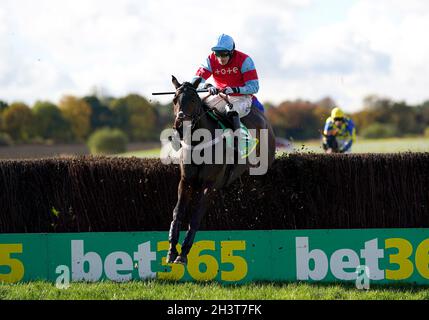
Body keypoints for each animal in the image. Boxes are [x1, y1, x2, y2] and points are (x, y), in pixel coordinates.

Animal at [166, 75, 272, 264]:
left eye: (193, 99)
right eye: (174, 99)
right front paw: (171, 250)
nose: (180, 125)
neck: (198, 143)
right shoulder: (185, 181)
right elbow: (177, 212)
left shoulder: (209, 185)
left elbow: (195, 217)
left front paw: (183, 254)